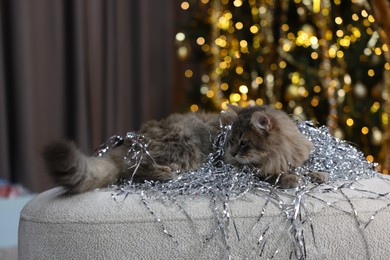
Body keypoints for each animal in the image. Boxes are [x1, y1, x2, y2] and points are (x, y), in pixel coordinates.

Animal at [42, 105, 328, 193]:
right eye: (231, 142)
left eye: (243, 142)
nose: (233, 153)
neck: (282, 151)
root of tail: (129, 139)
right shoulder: (240, 169)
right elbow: (269, 174)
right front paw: (289, 178)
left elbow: (307, 168)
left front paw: (317, 175)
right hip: (185, 144)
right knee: (131, 173)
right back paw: (165, 173)